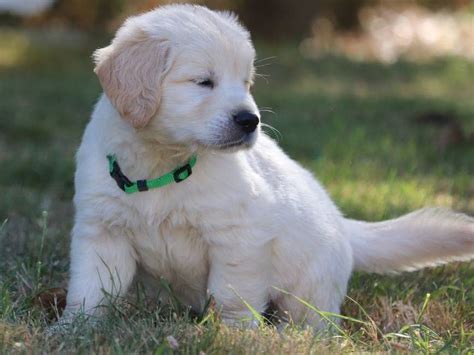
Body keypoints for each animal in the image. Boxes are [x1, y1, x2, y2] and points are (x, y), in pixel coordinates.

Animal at [64, 3, 474, 330]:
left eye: (246, 82)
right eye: (203, 81)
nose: (250, 120)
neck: (163, 161)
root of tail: (344, 225)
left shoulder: (240, 237)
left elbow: (231, 295)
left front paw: (235, 335)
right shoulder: (103, 232)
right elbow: (89, 290)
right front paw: (73, 330)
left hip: (310, 289)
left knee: (311, 320)